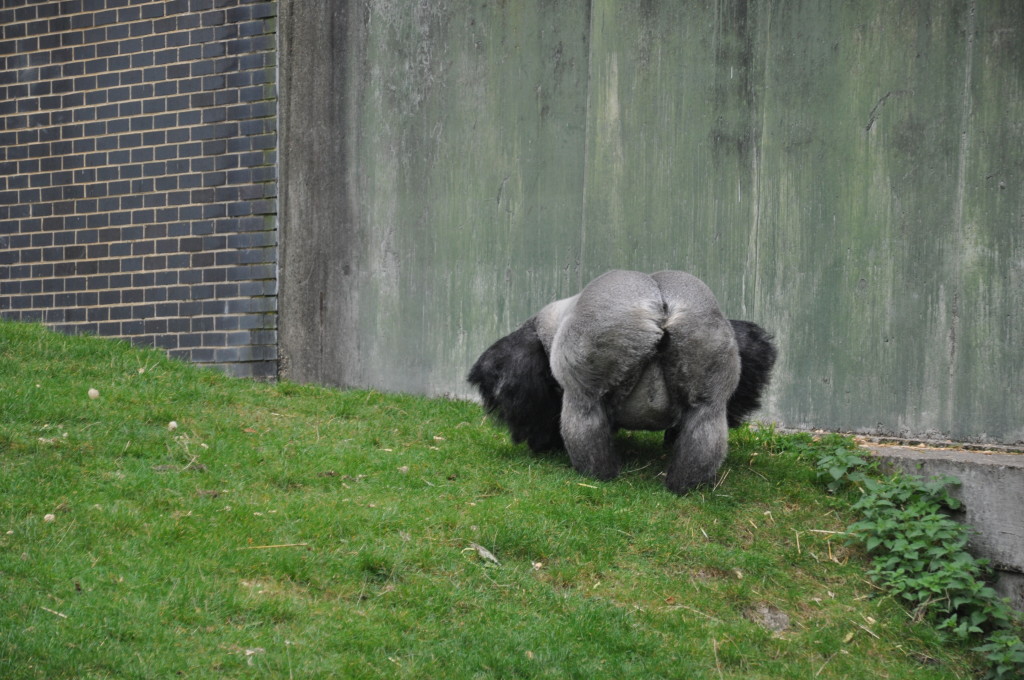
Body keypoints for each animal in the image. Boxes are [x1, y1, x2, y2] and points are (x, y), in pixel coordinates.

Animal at [468, 268, 774, 497]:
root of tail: (661, 303)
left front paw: (542, 440)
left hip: (605, 327)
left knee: (584, 408)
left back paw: (596, 474)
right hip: (702, 323)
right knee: (706, 415)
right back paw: (687, 484)